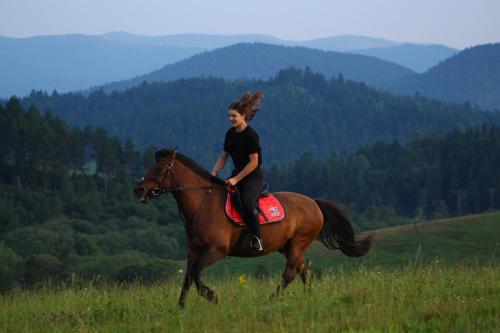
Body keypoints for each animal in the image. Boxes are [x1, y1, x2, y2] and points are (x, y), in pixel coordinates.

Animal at [133, 148, 372, 306]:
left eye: (160, 168)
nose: (139, 189)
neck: (202, 203)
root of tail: (314, 203)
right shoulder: (193, 250)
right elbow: (188, 277)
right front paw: (180, 307)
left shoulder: (217, 250)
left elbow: (195, 273)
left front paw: (212, 296)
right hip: (288, 246)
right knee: (303, 270)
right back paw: (309, 298)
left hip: (299, 242)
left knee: (290, 273)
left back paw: (271, 300)